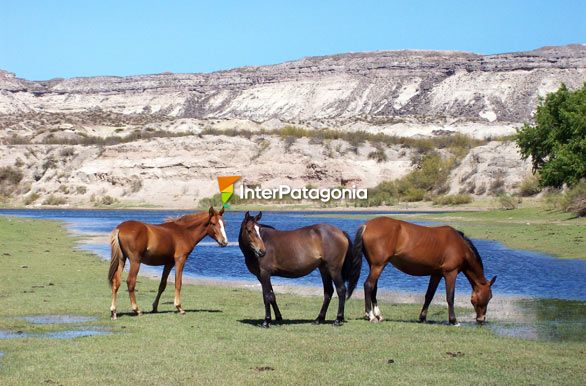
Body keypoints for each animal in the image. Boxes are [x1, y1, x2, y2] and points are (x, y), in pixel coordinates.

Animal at [354, 217, 496, 326]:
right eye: (489, 297)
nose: (481, 320)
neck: (460, 245)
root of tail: (367, 225)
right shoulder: (450, 273)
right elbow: (450, 297)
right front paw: (453, 321)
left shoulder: (436, 274)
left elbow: (429, 295)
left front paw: (422, 318)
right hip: (378, 265)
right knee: (368, 285)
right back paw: (371, 316)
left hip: (375, 265)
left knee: (374, 287)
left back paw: (378, 315)